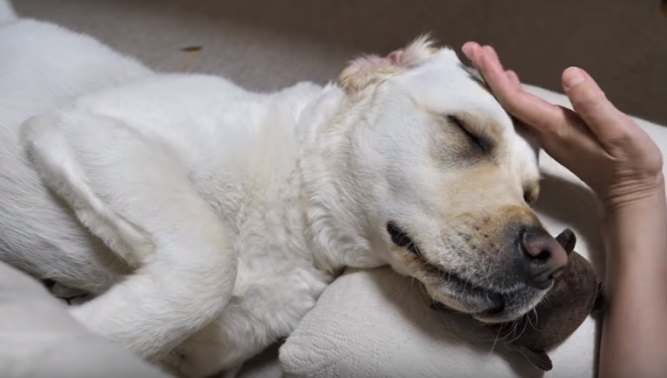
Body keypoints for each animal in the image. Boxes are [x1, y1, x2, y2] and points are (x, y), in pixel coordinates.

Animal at [0, 1, 568, 376]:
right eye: (467, 132)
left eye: (530, 194)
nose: (552, 260)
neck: (298, 219)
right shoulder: (87, 128)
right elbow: (211, 262)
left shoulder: (202, 356)